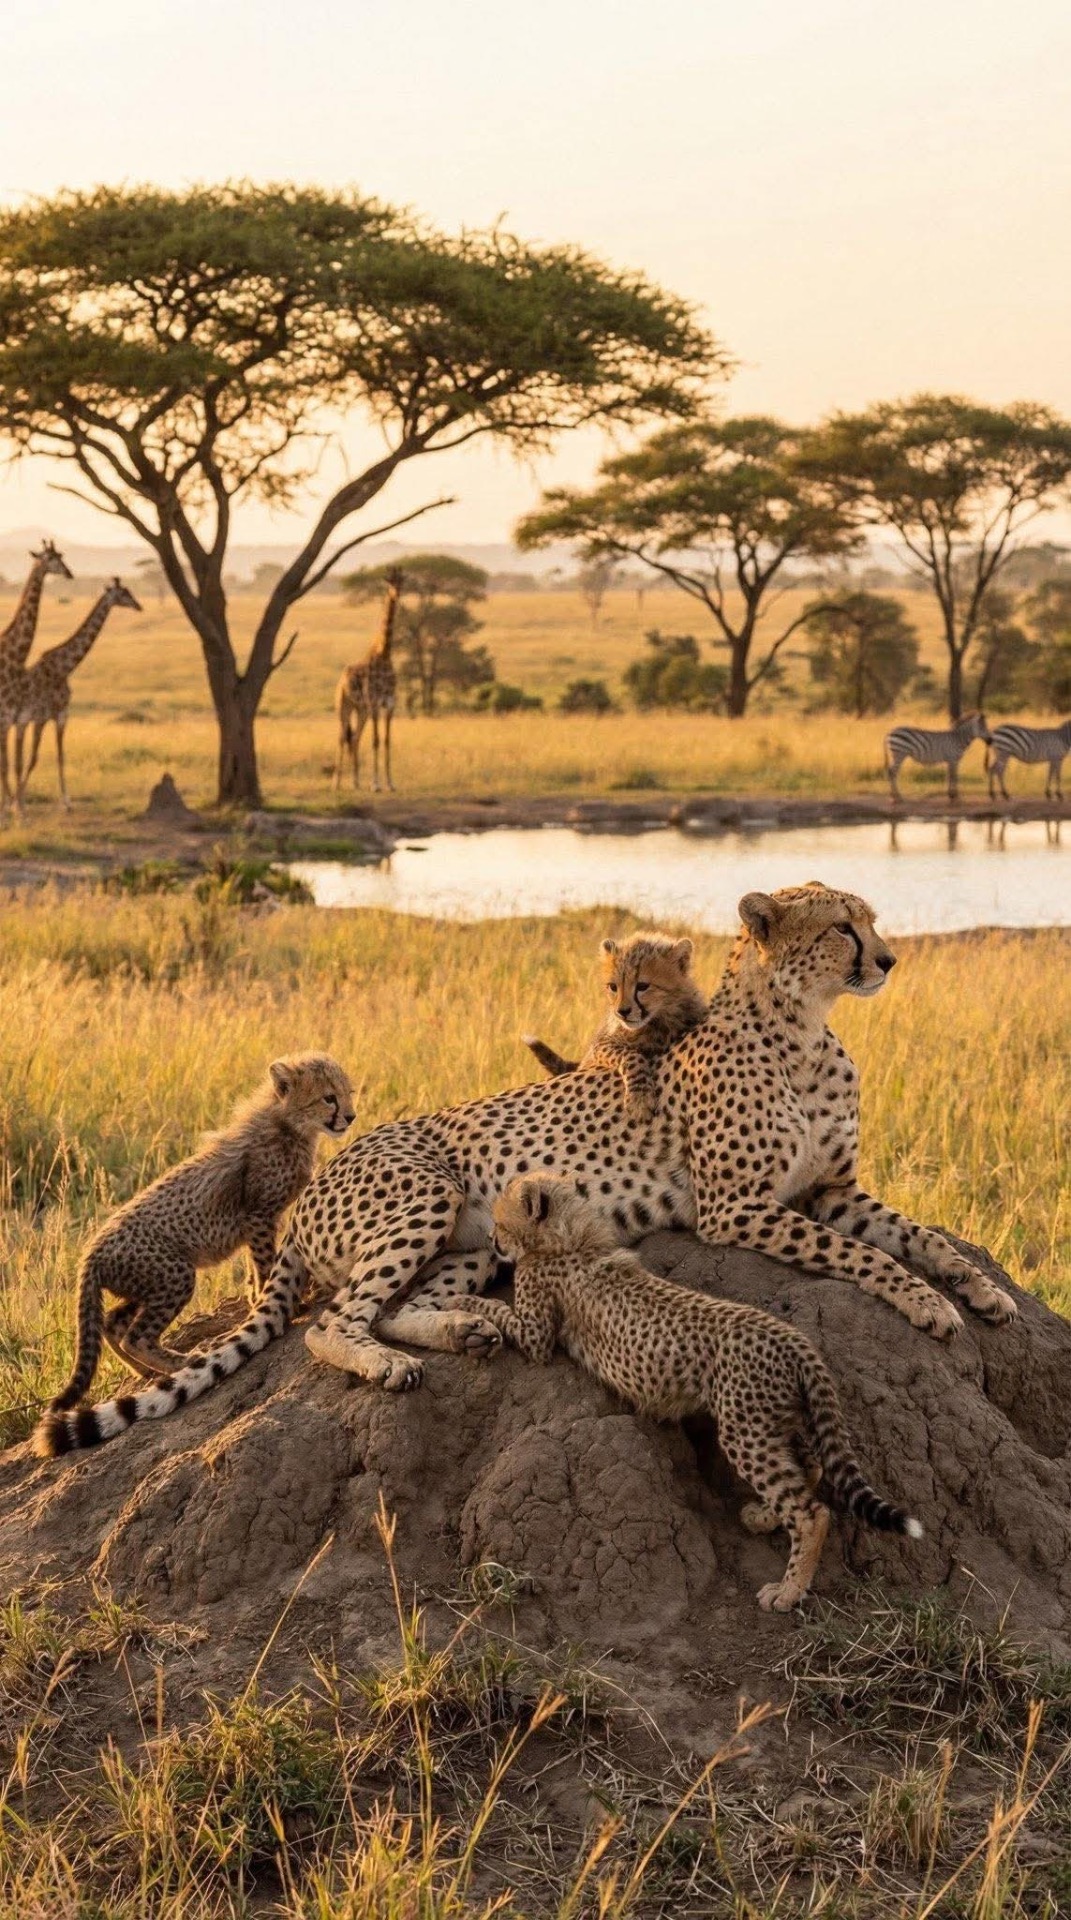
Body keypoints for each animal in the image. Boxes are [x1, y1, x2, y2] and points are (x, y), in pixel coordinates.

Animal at [34, 1055, 355, 1441]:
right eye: (328, 1098)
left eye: (348, 1093)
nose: (350, 1116)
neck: (287, 1124)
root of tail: (90, 1251)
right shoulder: (258, 1216)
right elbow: (264, 1264)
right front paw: (278, 1300)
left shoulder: (255, 1223)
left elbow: (254, 1269)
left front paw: (256, 1296)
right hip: (175, 1274)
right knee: (136, 1336)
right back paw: (181, 1361)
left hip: (145, 1284)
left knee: (113, 1323)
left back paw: (148, 1373)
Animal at [478, 1173, 922, 1610]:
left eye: (500, 1219)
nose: (490, 1238)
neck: (570, 1234)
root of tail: (792, 1337)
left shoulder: (537, 1334)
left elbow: (500, 1312)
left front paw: (475, 1310)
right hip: (776, 1417)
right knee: (809, 1468)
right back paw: (762, 1517)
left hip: (745, 1430)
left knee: (812, 1512)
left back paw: (788, 1590)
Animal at [523, 931, 707, 1120]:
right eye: (613, 987)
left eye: (642, 986)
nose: (622, 1012)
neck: (657, 1022)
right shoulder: (601, 1045)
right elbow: (631, 1055)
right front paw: (640, 1099)